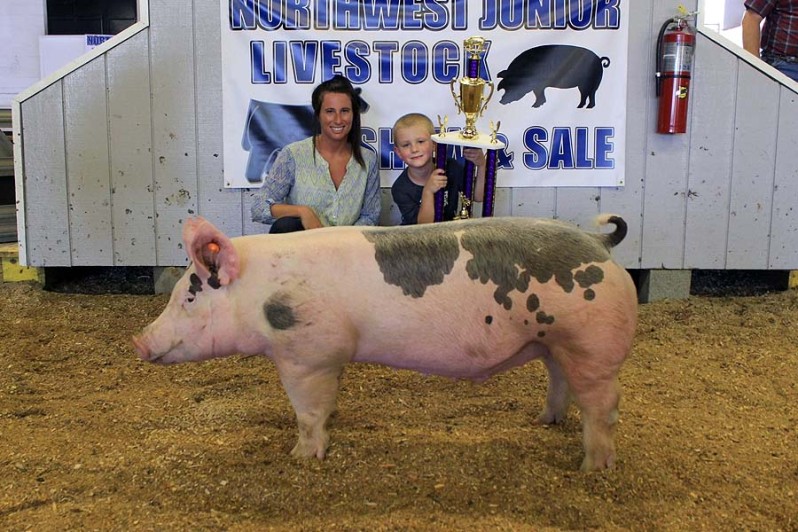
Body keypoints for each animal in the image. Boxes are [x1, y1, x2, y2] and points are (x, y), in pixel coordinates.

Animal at [134, 213, 640, 470]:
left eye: (188, 296)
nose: (139, 342)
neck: (263, 294)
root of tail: (600, 244)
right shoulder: (329, 358)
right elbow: (327, 404)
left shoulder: (306, 354)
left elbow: (308, 412)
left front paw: (300, 457)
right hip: (553, 342)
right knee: (560, 382)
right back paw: (544, 421)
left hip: (591, 344)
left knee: (605, 407)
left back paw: (593, 469)